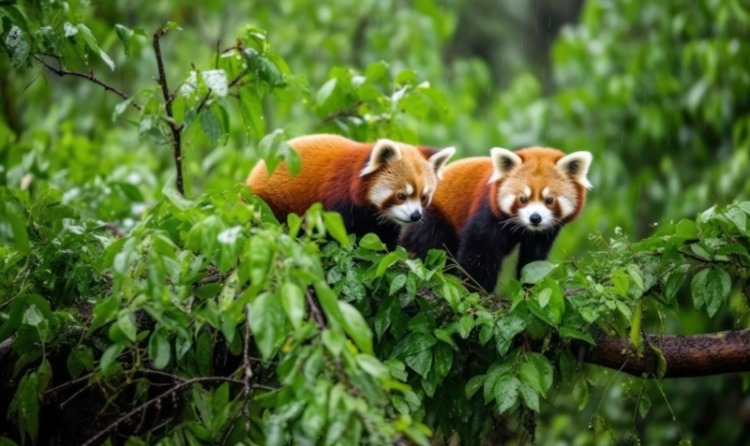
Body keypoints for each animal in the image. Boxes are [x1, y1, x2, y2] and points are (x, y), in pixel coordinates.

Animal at [400, 146, 592, 292]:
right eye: (523, 199)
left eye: (549, 200)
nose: (535, 218)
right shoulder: (487, 212)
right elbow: (479, 253)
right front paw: (477, 291)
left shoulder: (543, 233)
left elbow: (533, 258)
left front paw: (529, 289)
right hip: (435, 215)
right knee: (427, 242)